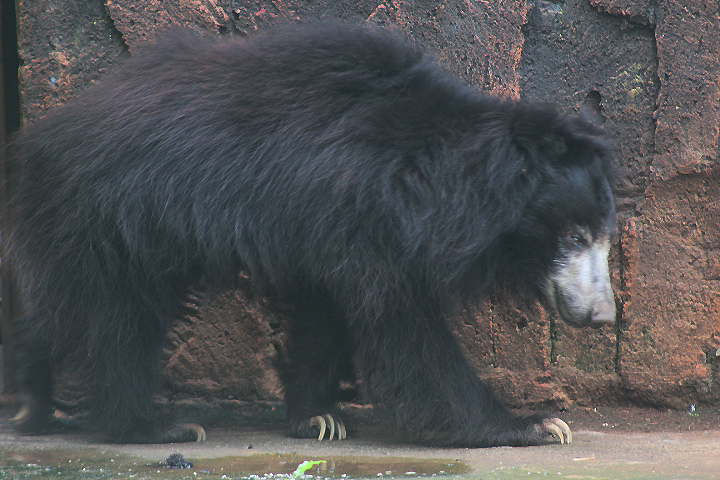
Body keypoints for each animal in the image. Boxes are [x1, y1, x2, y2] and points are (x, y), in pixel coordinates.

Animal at [5, 21, 616, 447]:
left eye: (605, 237)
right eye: (575, 237)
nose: (604, 315)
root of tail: (44, 132)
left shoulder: (330, 228)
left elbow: (329, 310)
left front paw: (316, 417)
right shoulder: (369, 216)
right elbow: (405, 324)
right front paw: (536, 425)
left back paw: (34, 404)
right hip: (116, 218)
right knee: (118, 320)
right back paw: (154, 426)